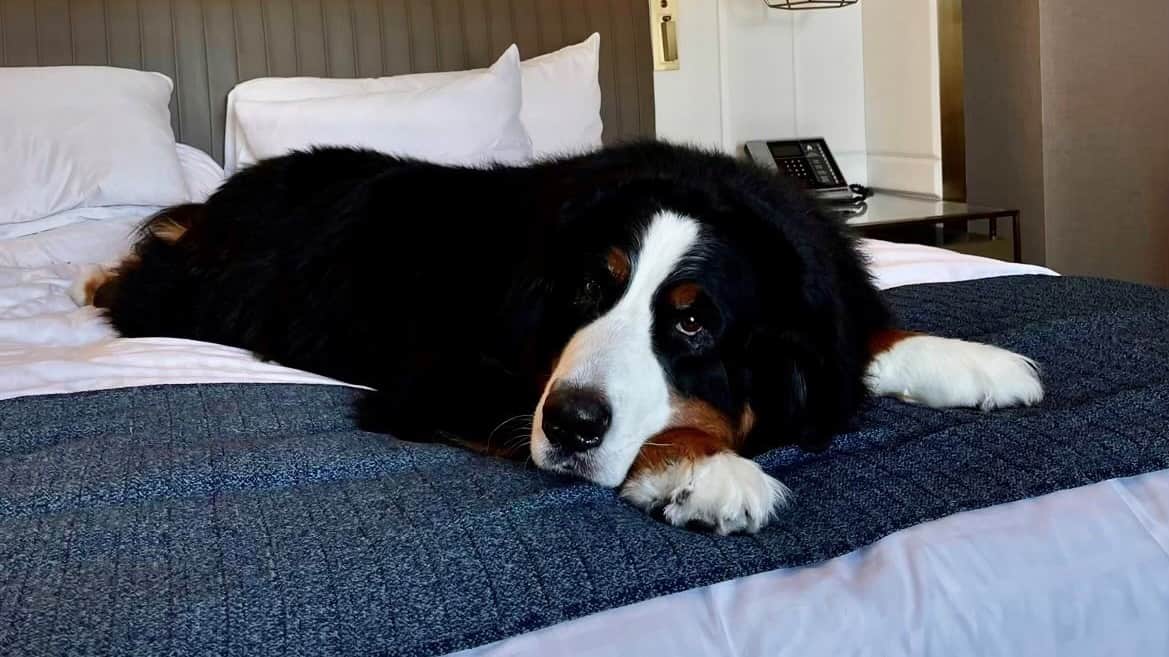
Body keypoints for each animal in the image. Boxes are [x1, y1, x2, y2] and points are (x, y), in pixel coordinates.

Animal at [80, 142, 1042, 533]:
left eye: (691, 319)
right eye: (588, 287)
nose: (572, 424)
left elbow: (865, 341)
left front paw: (975, 362)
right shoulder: (448, 377)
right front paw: (705, 469)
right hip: (197, 295)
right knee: (141, 270)